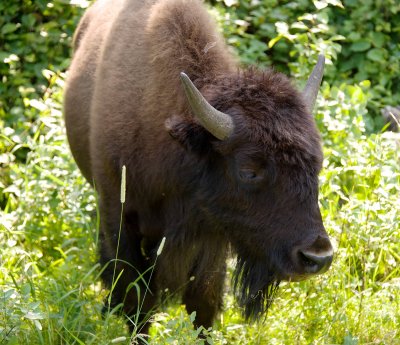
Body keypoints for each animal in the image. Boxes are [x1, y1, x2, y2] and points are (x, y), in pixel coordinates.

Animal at [65, 0, 334, 336]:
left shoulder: (212, 238)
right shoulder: (119, 218)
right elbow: (137, 301)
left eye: (317, 164)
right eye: (249, 170)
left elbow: (203, 304)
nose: (317, 257)